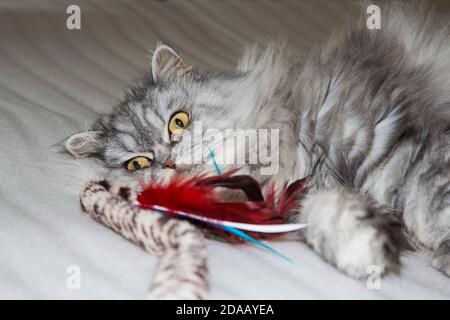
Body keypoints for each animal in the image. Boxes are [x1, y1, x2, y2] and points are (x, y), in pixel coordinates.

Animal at [63, 1, 450, 278]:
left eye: (178, 121)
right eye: (138, 163)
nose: (169, 160)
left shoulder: (394, 148)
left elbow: (428, 207)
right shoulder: (296, 196)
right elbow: (325, 213)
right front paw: (366, 248)